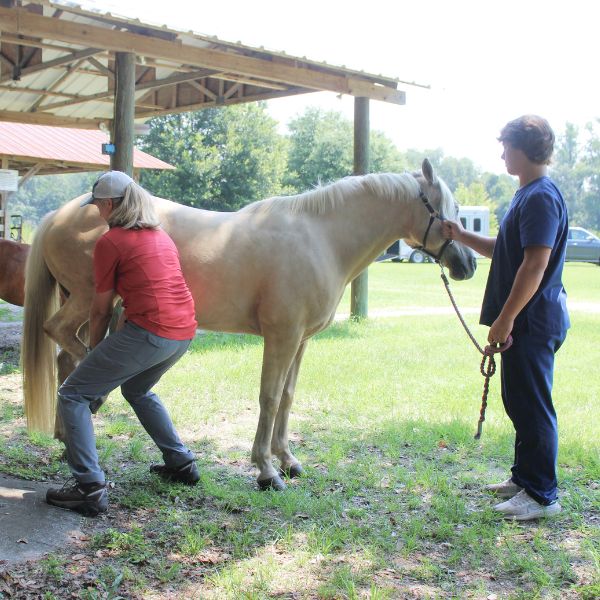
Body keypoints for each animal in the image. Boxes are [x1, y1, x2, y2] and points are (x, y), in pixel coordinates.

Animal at [21, 159, 476, 488]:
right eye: (449, 212)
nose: (469, 265)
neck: (321, 238)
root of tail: (58, 215)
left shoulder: (301, 340)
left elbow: (288, 397)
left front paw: (288, 460)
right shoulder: (281, 336)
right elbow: (269, 398)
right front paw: (266, 470)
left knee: (65, 361)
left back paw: (67, 438)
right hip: (85, 297)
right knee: (63, 341)